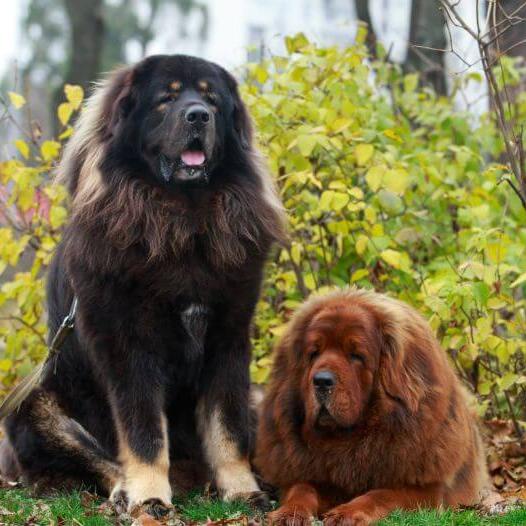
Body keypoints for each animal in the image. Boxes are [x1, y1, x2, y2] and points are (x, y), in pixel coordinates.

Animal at [2, 54, 286, 516]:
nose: (198, 115)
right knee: (99, 459)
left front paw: (243, 490)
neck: (182, 222)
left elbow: (228, 429)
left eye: (211, 99)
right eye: (166, 99)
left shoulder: (228, 339)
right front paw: (150, 494)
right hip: (34, 403)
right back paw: (126, 491)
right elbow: (144, 433)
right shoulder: (130, 346)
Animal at [256, 290, 486, 524]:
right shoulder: (313, 474)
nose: (321, 381)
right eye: (314, 353)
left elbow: (381, 494)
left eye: (356, 355)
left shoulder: (426, 489)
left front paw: (346, 513)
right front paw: (290, 513)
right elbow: (302, 488)